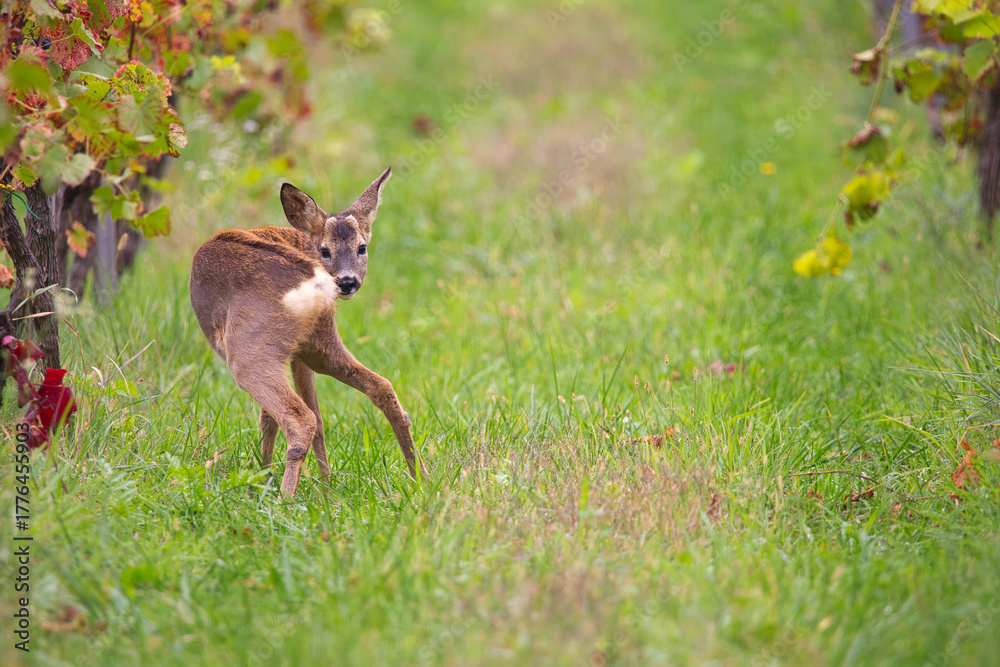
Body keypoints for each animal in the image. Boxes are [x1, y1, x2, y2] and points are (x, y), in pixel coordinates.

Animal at [189, 167, 427, 497]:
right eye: (325, 250)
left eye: (361, 247)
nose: (347, 282)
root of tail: (315, 284)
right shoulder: (301, 353)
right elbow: (301, 417)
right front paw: (324, 488)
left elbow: (271, 417)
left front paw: (265, 479)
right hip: (319, 343)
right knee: (380, 388)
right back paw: (421, 479)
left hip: (249, 350)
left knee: (299, 418)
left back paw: (283, 500)